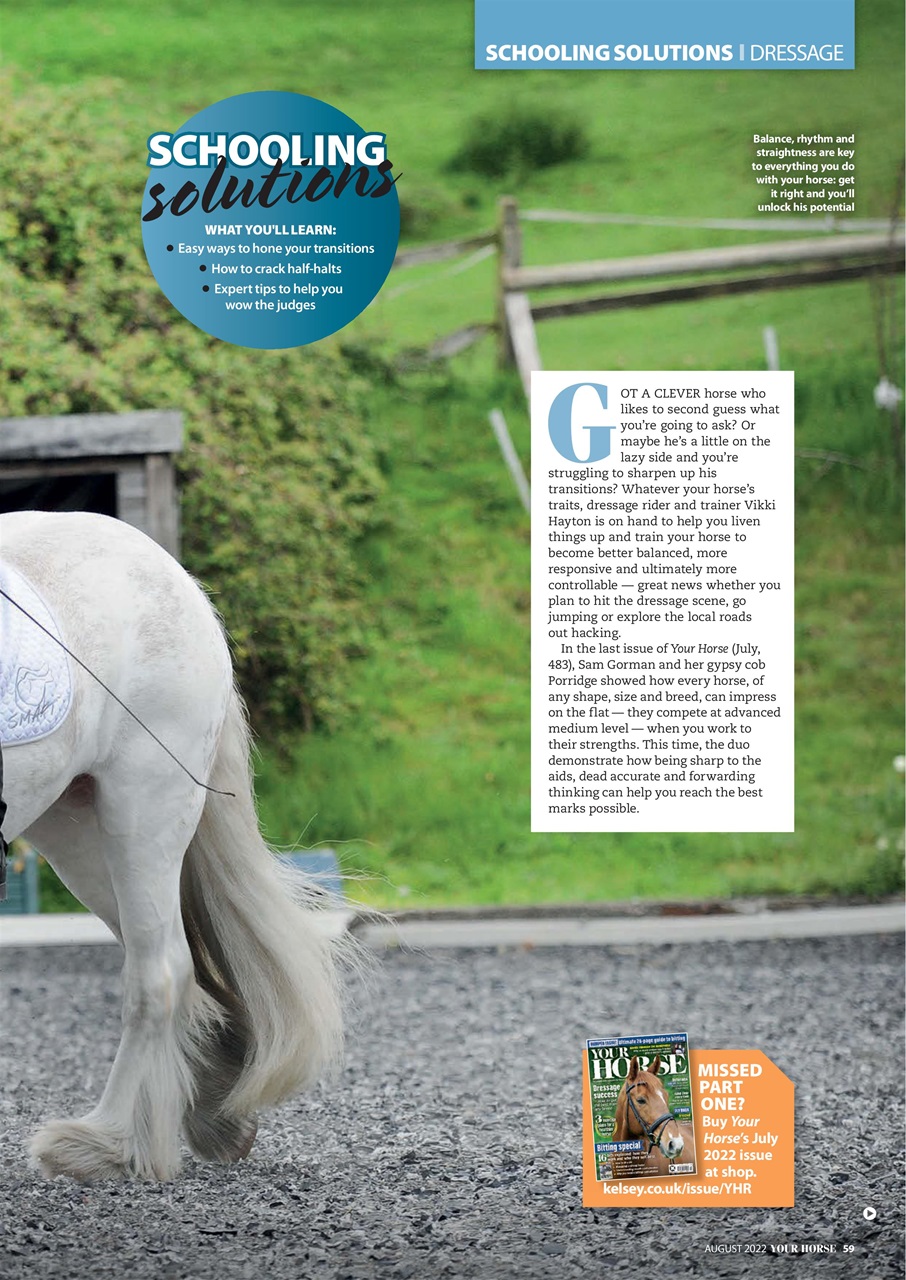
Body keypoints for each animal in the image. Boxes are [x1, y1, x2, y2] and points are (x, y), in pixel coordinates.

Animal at [0, 510, 344, 1182]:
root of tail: (173, 572)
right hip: (72, 826)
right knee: (176, 965)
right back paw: (215, 1109)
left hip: (142, 808)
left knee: (158, 973)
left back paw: (109, 1143)